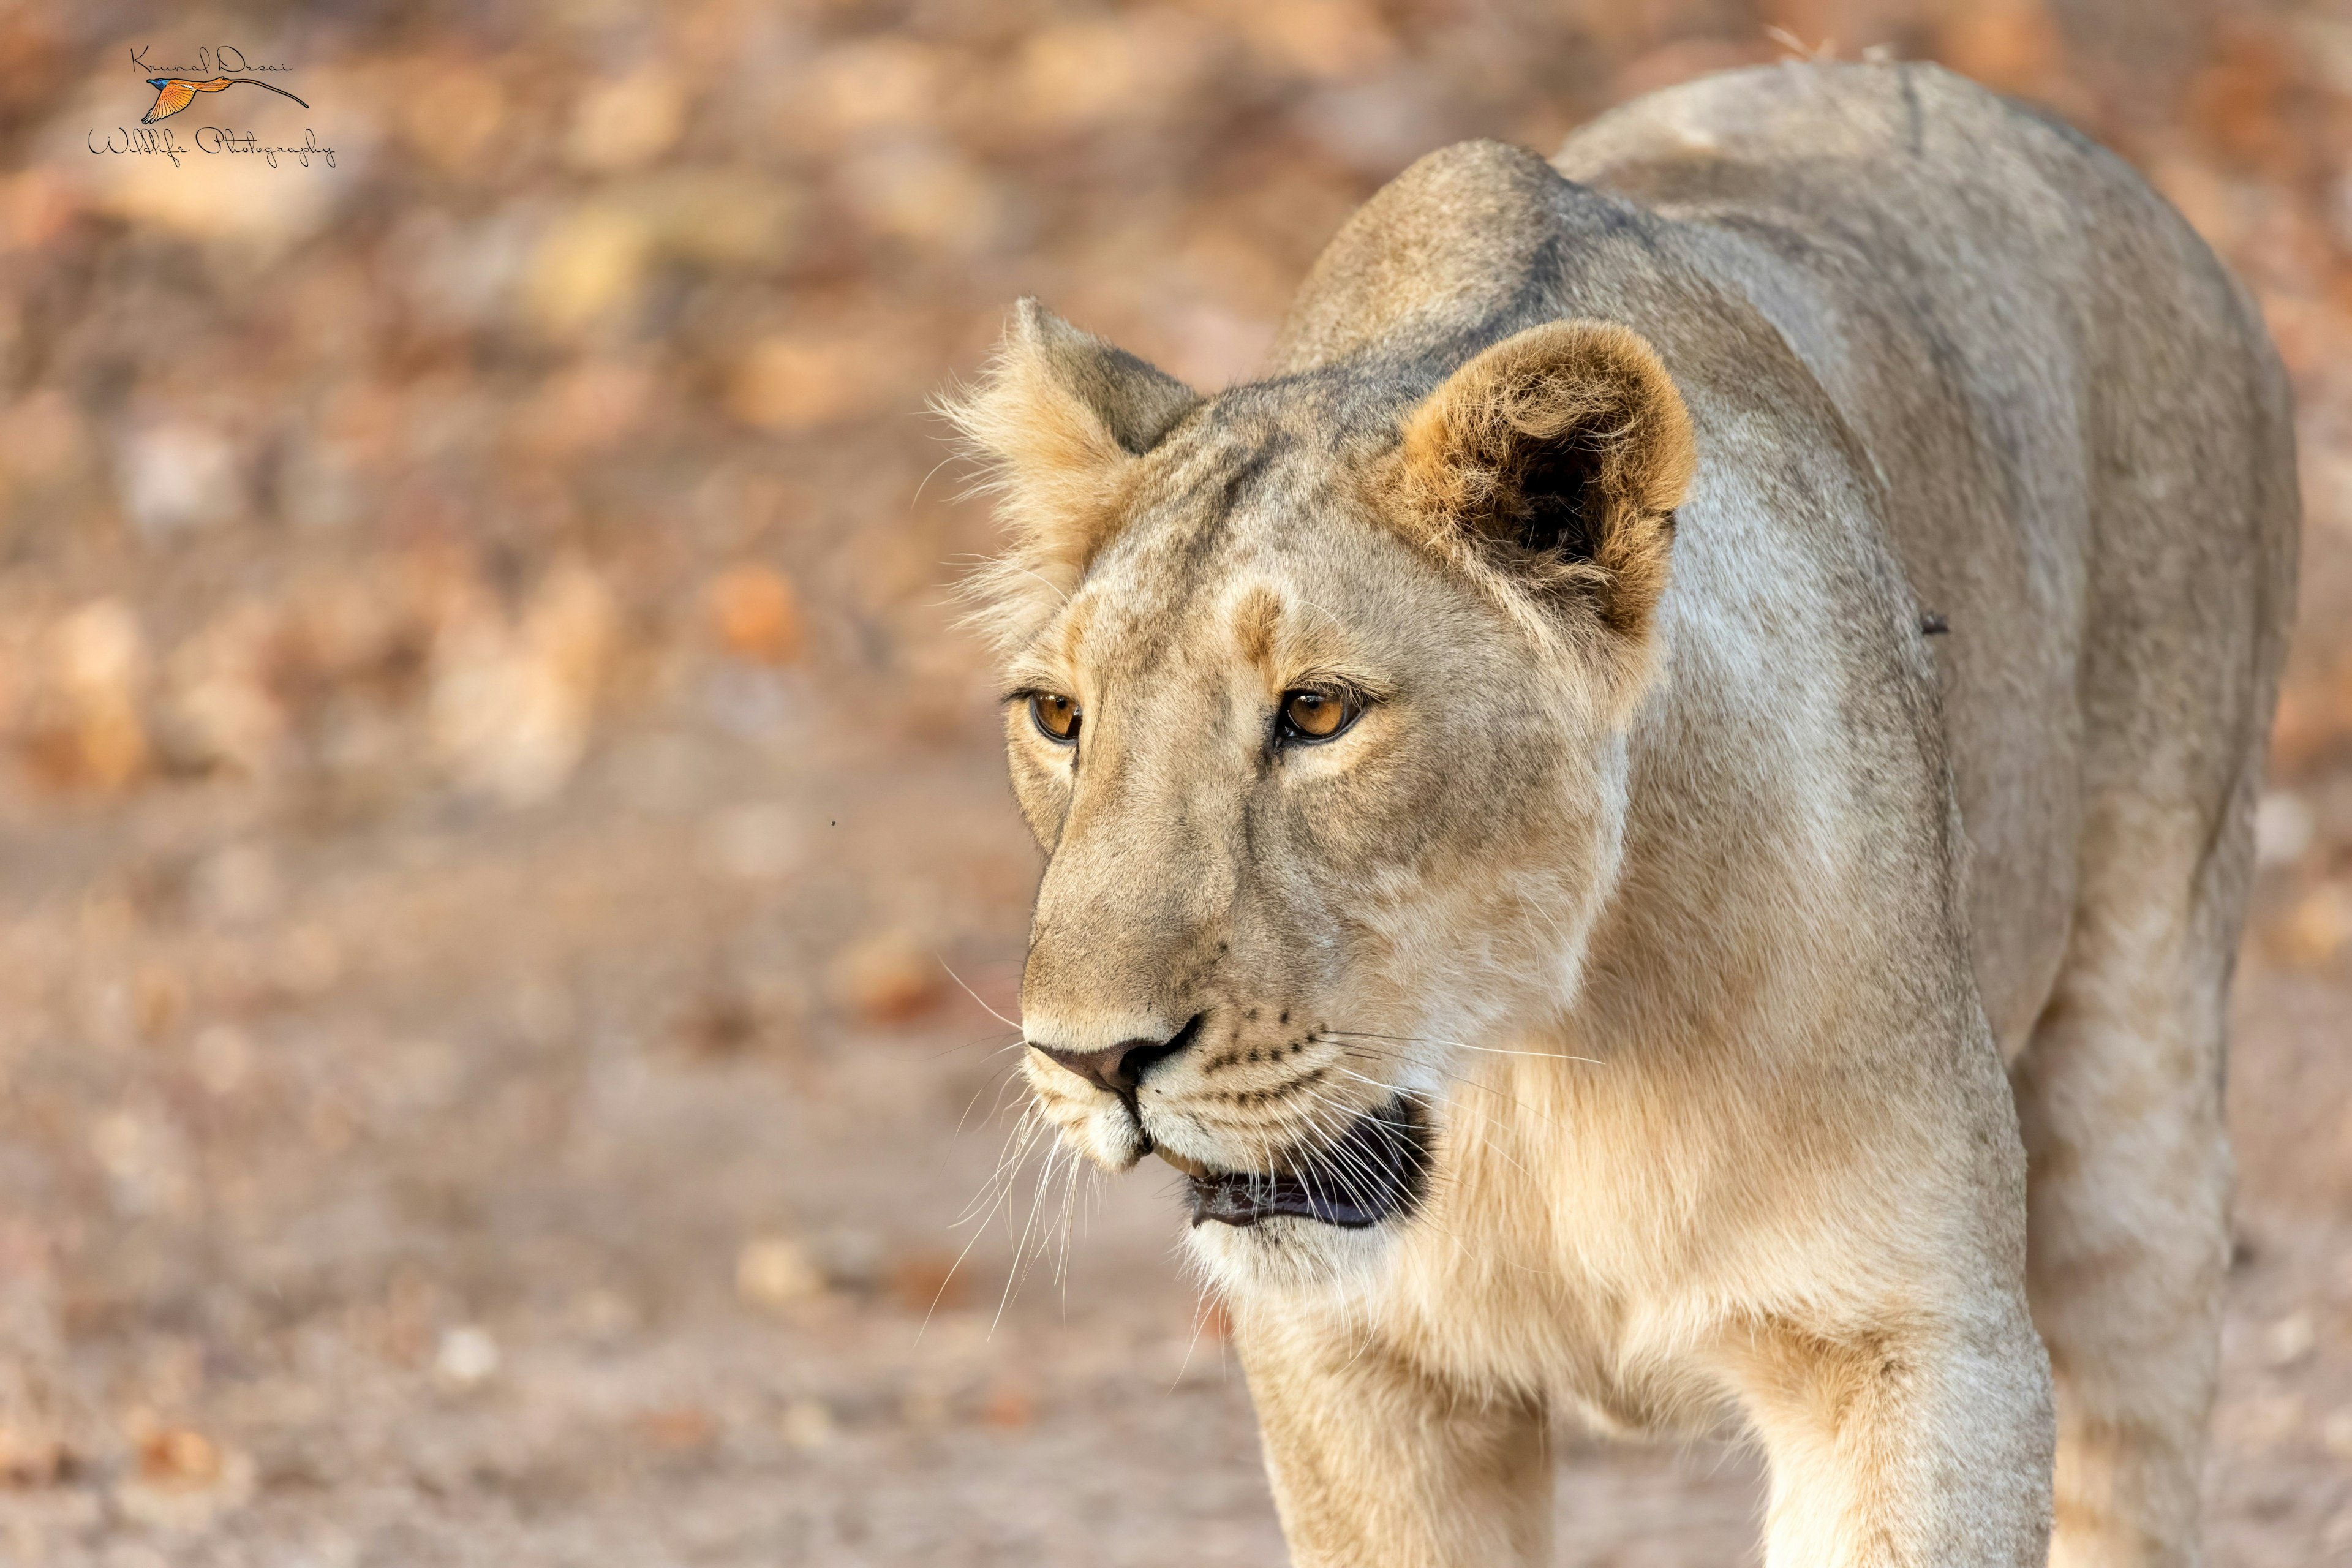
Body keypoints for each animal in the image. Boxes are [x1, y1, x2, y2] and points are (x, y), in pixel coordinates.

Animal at [945, 64, 2286, 1568]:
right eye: (1060, 718)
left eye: (1319, 713)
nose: (1093, 1060)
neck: (1536, 1067)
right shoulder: (1345, 1357)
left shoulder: (1918, 1339)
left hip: (2141, 1080)